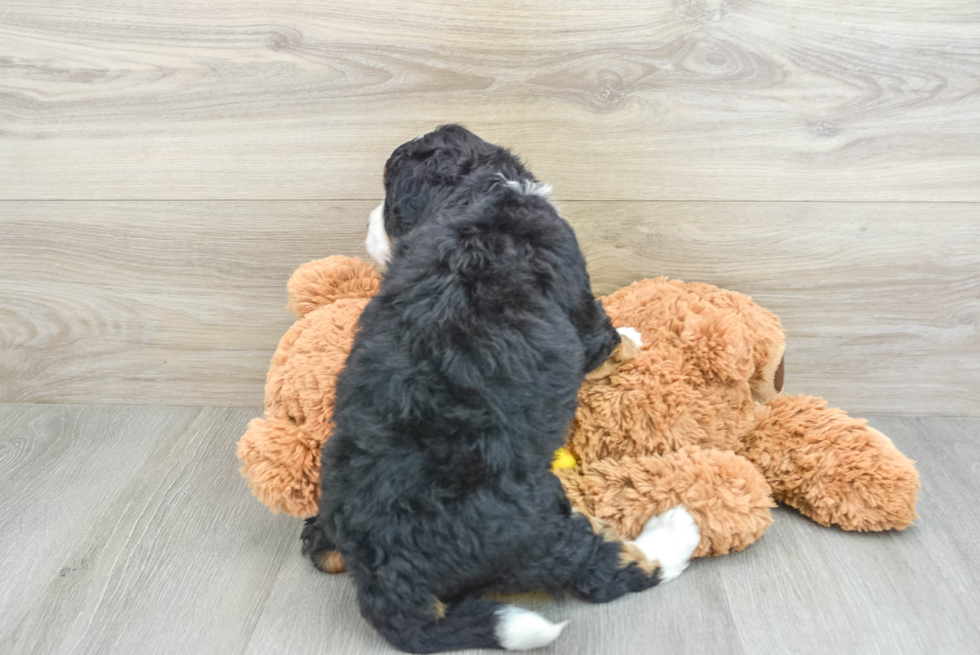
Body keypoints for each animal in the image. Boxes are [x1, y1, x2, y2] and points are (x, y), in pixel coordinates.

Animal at [302, 125, 700, 652]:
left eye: (387, 199)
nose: (368, 223)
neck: (478, 197)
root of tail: (383, 569)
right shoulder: (583, 308)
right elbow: (608, 341)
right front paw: (633, 337)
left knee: (323, 553)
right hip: (535, 527)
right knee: (600, 568)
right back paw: (673, 532)